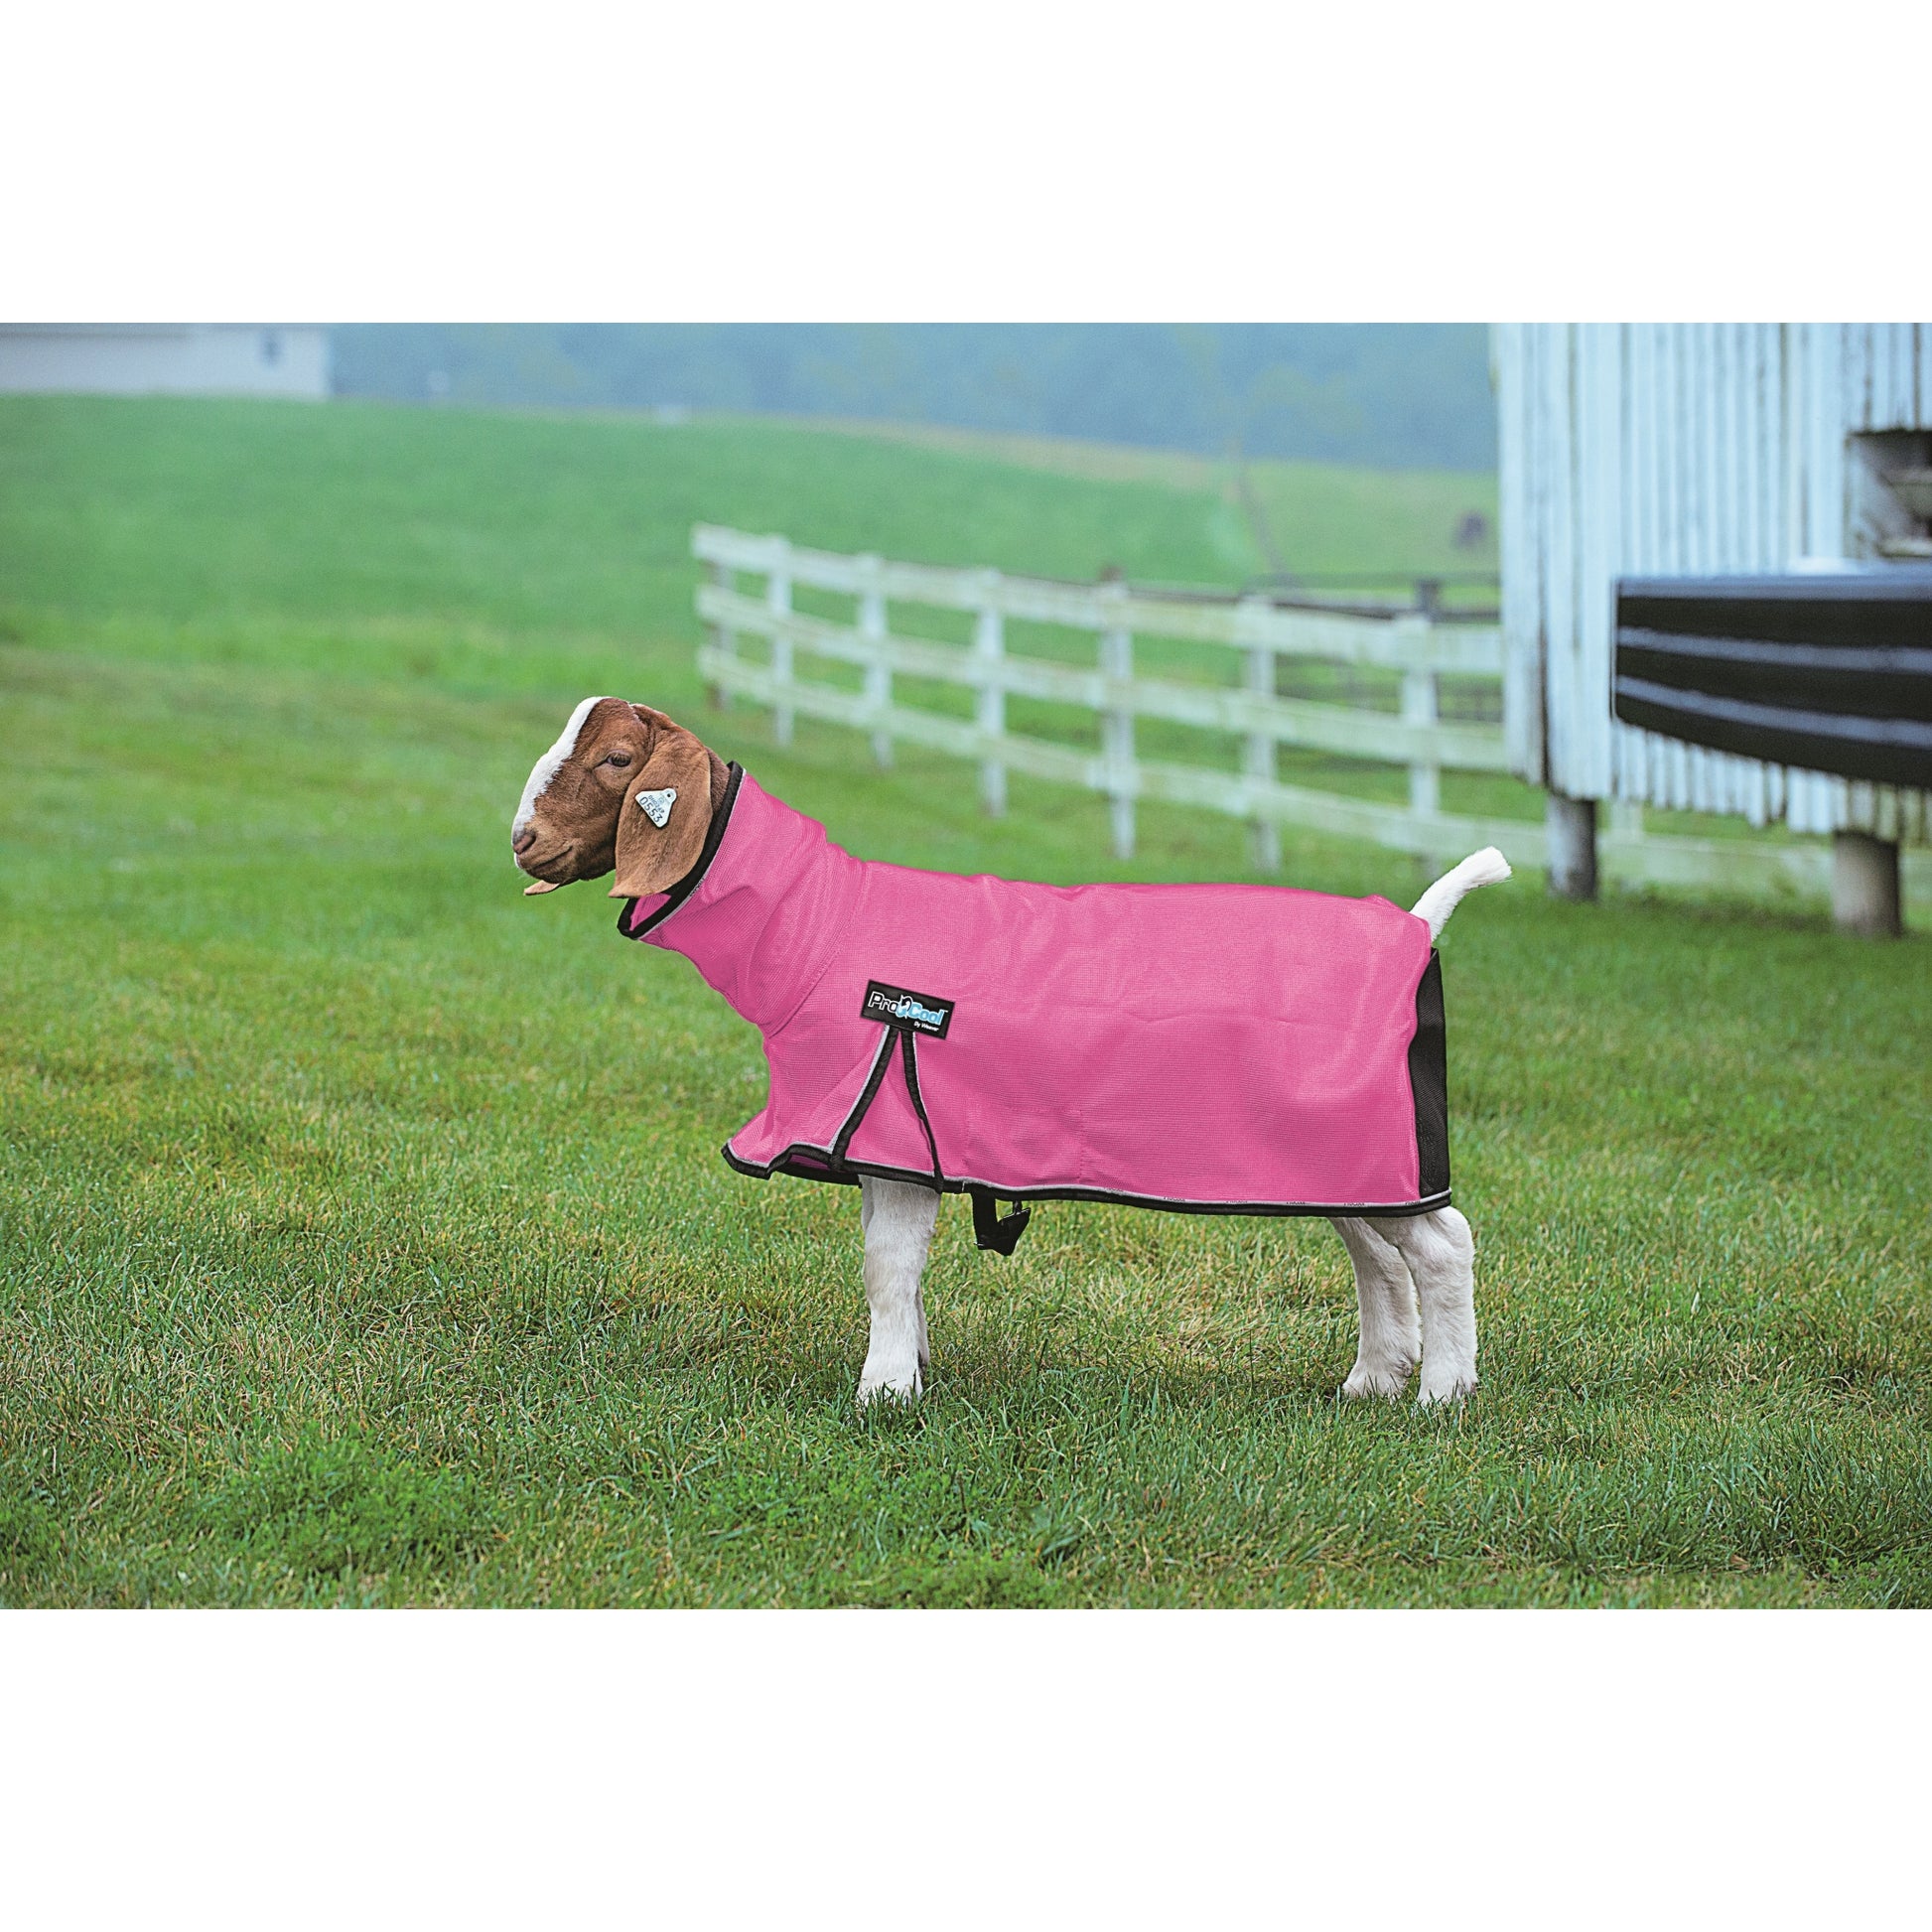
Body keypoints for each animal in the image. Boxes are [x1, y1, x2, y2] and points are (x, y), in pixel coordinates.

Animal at [513, 697, 1509, 1408]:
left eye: (615, 761)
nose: (523, 840)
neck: (819, 924)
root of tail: (1416, 923)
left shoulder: (889, 1118)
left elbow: (888, 1266)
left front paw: (882, 1394)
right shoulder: (880, 1141)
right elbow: (892, 1264)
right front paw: (911, 1369)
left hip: (1373, 1139)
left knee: (1443, 1244)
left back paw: (1443, 1393)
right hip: (1345, 1151)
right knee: (1377, 1250)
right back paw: (1373, 1379)